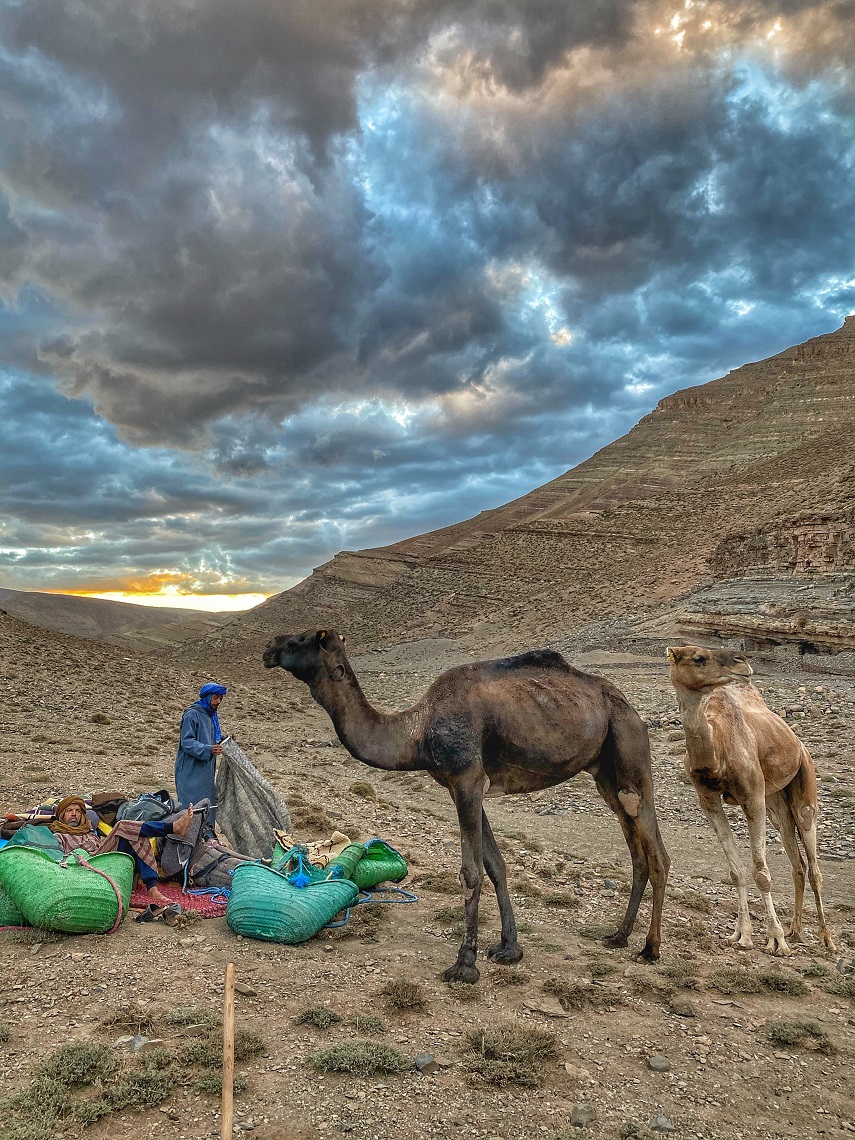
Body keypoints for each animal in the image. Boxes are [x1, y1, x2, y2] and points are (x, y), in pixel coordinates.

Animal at [264, 629, 674, 984]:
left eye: (301, 639)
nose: (269, 647)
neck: (416, 732)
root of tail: (631, 708)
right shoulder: (464, 787)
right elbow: (496, 865)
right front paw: (509, 949)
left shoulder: (466, 780)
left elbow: (471, 872)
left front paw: (465, 965)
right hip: (606, 775)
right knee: (637, 853)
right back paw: (619, 936)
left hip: (630, 753)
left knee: (657, 854)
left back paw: (650, 949)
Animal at [670, 647, 839, 957]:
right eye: (698, 658)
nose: (742, 662)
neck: (716, 750)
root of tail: (798, 743)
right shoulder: (707, 799)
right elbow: (737, 871)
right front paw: (742, 935)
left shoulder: (752, 797)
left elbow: (762, 872)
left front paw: (776, 941)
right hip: (776, 801)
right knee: (797, 862)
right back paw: (795, 930)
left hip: (803, 785)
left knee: (813, 864)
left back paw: (826, 940)